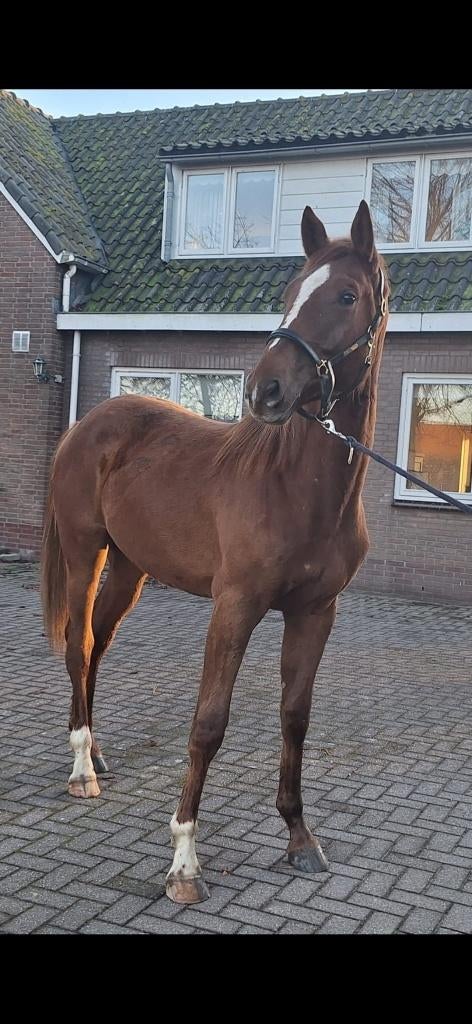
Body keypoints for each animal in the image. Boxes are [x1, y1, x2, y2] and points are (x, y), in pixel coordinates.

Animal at [41, 200, 389, 904]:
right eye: (290, 292)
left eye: (346, 295)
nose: (265, 390)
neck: (296, 489)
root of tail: (86, 426)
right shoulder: (235, 607)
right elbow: (209, 722)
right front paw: (183, 862)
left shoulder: (317, 613)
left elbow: (295, 716)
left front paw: (299, 838)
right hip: (86, 555)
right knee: (78, 644)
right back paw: (81, 767)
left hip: (131, 569)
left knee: (96, 646)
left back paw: (97, 755)